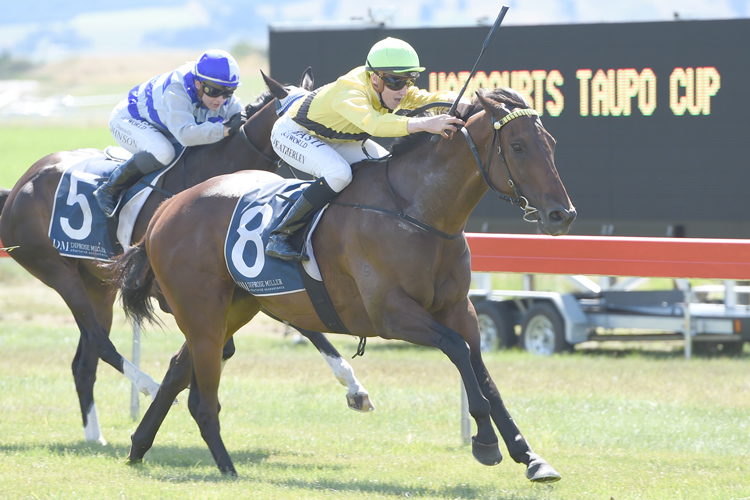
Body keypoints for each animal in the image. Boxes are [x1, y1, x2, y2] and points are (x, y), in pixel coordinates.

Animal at [0, 69, 374, 446]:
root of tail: (21, 184)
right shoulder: (172, 291)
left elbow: (296, 330)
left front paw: (355, 388)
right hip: (57, 271)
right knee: (98, 340)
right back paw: (148, 387)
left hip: (97, 284)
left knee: (84, 361)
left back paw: (95, 435)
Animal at [114, 74, 580, 480]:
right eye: (517, 146)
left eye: (552, 144)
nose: (563, 214)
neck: (418, 211)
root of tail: (165, 209)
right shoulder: (391, 315)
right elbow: (458, 351)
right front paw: (485, 441)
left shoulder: (458, 309)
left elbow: (483, 372)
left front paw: (530, 456)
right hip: (201, 310)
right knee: (202, 398)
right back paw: (226, 468)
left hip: (234, 308)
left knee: (180, 369)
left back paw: (139, 446)